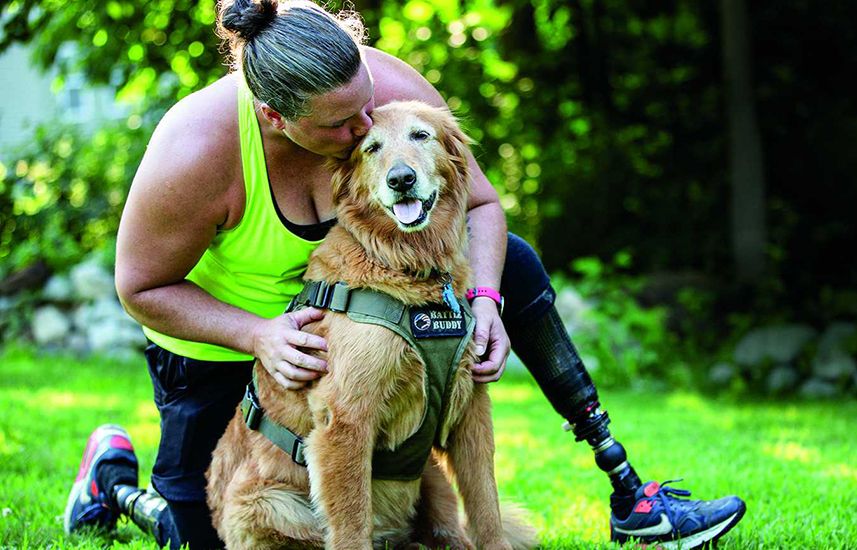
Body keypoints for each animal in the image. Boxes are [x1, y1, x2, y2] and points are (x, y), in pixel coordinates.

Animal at [207, 102, 536, 550]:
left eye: (420, 135)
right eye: (371, 147)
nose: (401, 179)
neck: (409, 265)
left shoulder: (471, 407)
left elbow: (486, 505)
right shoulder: (345, 418)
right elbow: (350, 522)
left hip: (431, 477)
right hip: (267, 503)